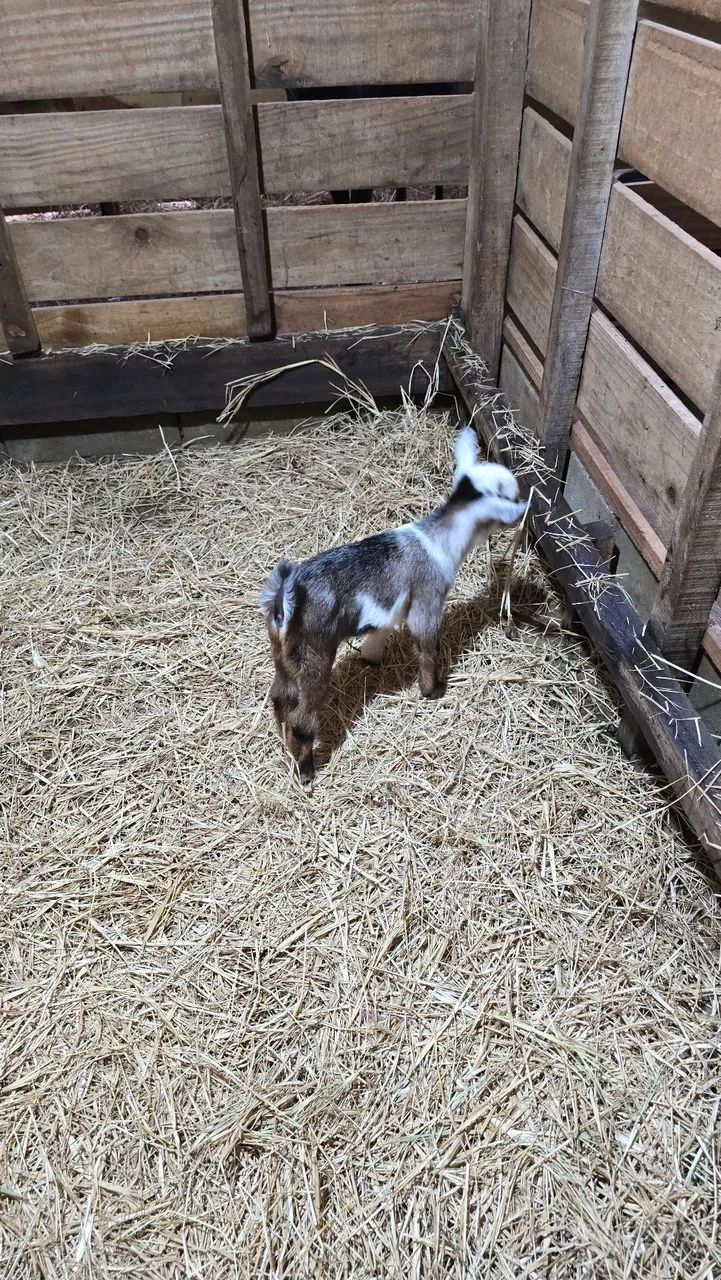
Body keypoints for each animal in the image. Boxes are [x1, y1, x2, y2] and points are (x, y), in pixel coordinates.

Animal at [260, 427, 528, 783]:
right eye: (507, 494)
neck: (439, 537)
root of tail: (284, 601)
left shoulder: (388, 612)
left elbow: (379, 634)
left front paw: (372, 661)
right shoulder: (427, 599)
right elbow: (427, 645)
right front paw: (432, 690)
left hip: (284, 656)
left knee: (280, 698)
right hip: (312, 657)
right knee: (302, 719)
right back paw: (306, 772)